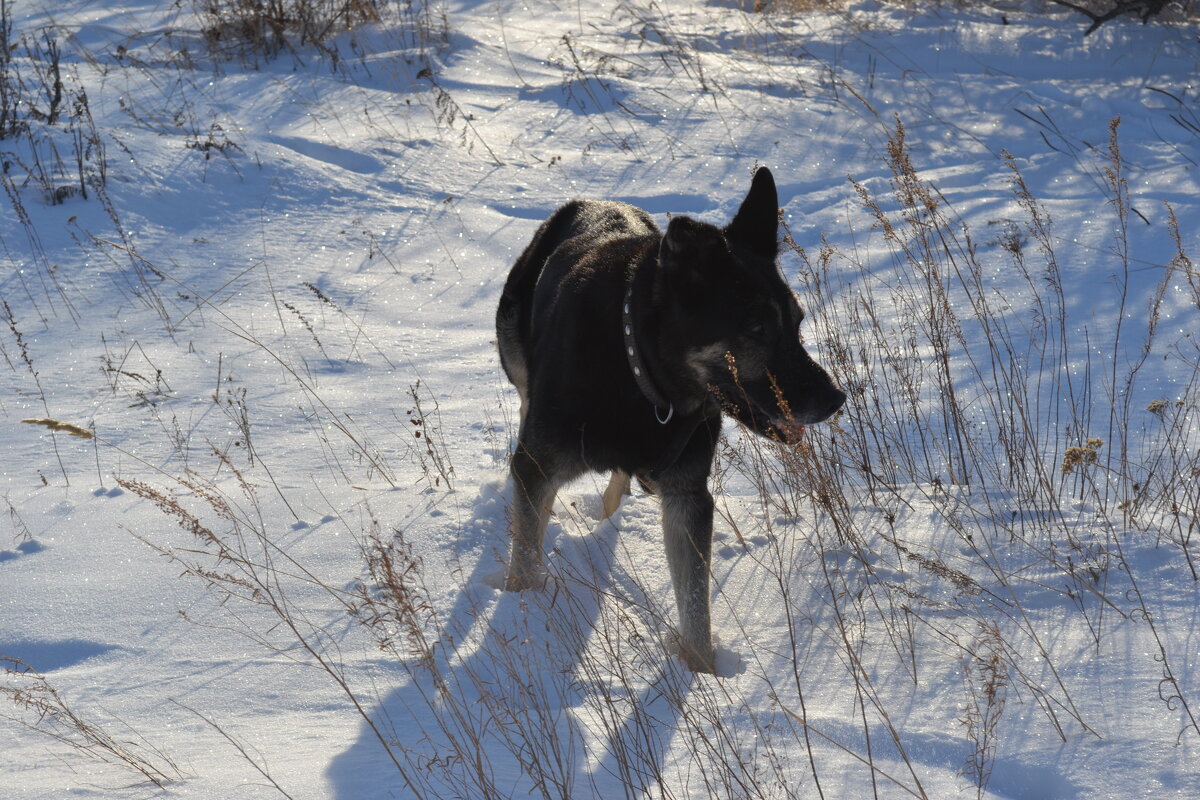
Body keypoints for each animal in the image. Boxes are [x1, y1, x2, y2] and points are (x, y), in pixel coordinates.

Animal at [496, 169, 844, 676]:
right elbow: (524, 561)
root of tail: (591, 202)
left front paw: (702, 676)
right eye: (757, 329)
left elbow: (696, 605)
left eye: (797, 323)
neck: (638, 371)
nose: (837, 399)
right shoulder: (539, 462)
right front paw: (522, 612)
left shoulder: (687, 495)